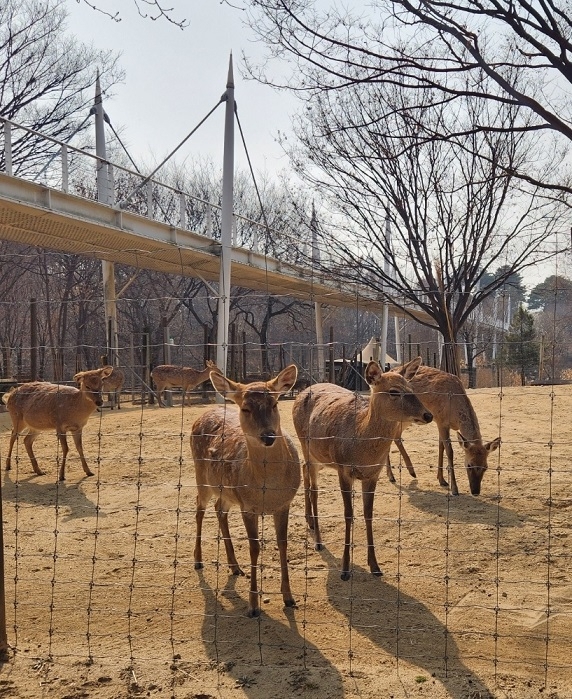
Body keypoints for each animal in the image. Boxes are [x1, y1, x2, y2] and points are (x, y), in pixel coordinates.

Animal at [191, 366, 302, 616]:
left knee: (219, 509)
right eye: (246, 408)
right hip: (201, 475)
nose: (268, 435)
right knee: (199, 509)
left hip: (227, 490)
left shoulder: (284, 504)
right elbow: (254, 547)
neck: (268, 488)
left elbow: (283, 543)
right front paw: (253, 606)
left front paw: (289, 598)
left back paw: (234, 566)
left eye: (275, 403)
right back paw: (198, 560)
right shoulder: (248, 507)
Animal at [292, 358, 432, 584]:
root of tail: (301, 392)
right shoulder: (343, 469)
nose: (427, 415)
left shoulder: (372, 474)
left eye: (411, 388)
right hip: (306, 445)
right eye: (394, 391)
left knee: (304, 471)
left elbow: (368, 513)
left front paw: (375, 566)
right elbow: (348, 514)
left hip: (318, 457)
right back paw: (318, 541)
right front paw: (345, 569)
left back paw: (310, 522)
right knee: (314, 490)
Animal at [388, 360, 500, 498]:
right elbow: (450, 451)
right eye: (469, 465)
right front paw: (454, 489)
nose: (475, 492)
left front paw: (442, 480)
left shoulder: (440, 423)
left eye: (486, 466)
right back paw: (397, 475)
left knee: (395, 435)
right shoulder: (441, 421)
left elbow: (441, 447)